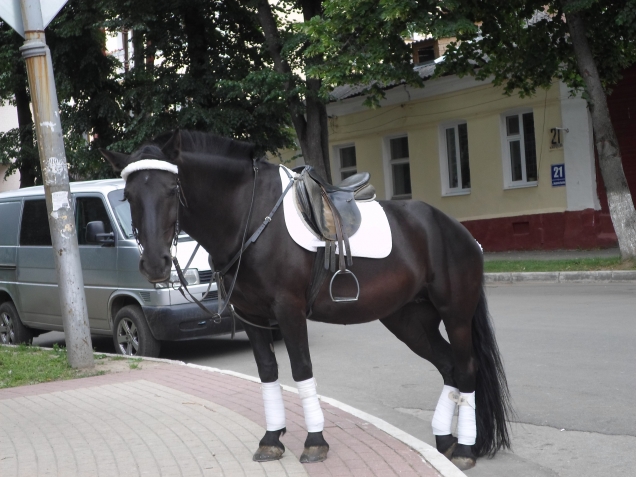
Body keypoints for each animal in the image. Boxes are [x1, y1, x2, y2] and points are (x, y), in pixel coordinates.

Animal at [103, 129, 512, 468]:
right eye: (128, 196)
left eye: (172, 190)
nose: (155, 264)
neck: (248, 214)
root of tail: (456, 230)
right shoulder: (251, 315)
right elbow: (268, 371)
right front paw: (272, 439)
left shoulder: (289, 310)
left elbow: (301, 369)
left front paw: (315, 442)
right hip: (410, 320)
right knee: (449, 367)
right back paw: (445, 440)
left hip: (456, 314)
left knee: (467, 369)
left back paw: (464, 448)